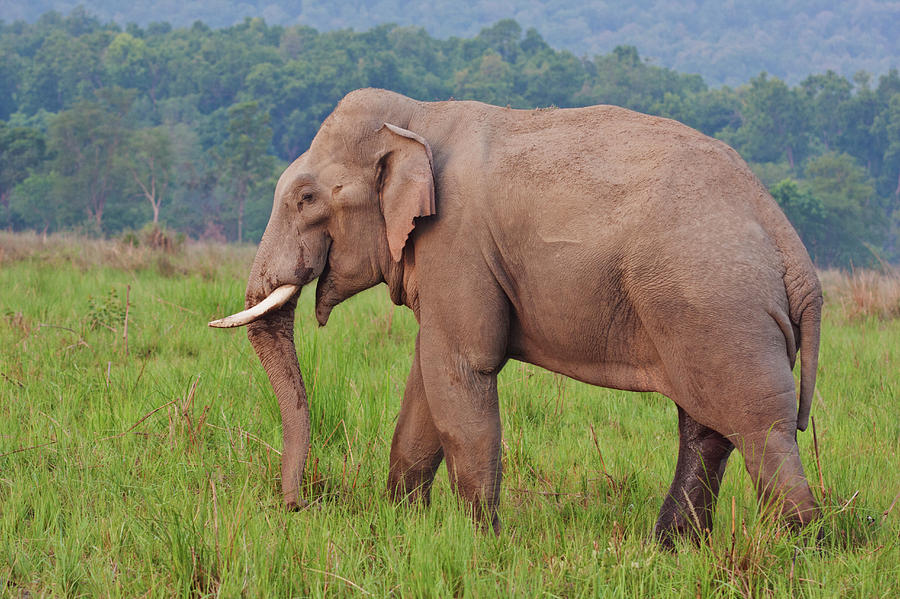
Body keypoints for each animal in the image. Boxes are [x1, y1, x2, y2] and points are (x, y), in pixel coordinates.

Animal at [209, 89, 824, 548]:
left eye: (306, 198)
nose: (296, 505)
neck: (416, 116)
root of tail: (791, 245)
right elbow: (427, 377)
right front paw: (403, 522)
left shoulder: (456, 242)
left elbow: (460, 366)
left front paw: (482, 542)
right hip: (706, 313)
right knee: (707, 428)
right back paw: (670, 549)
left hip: (717, 307)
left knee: (758, 429)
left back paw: (794, 547)